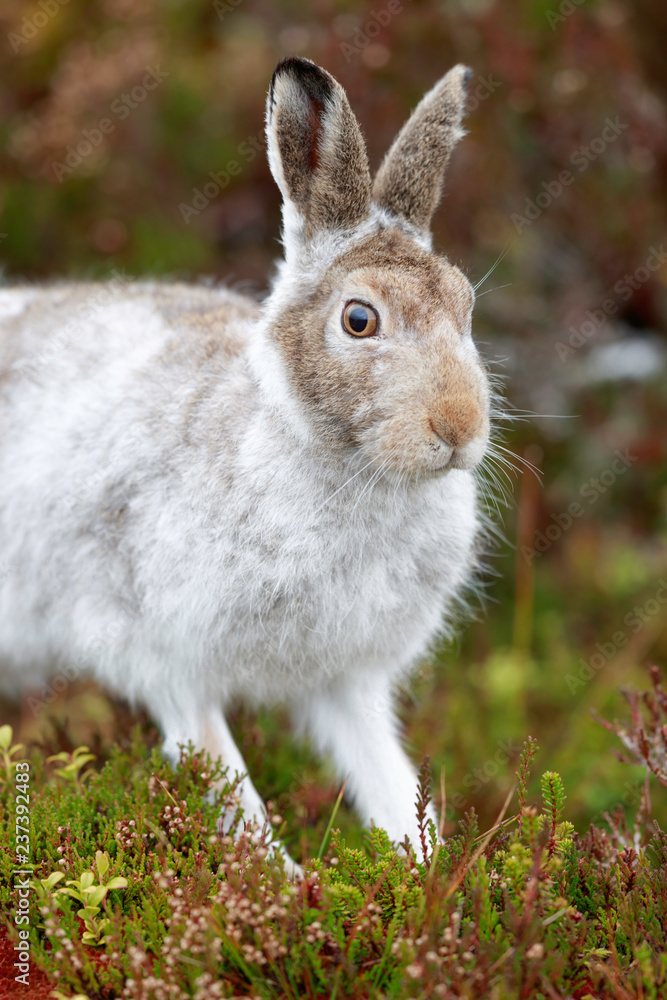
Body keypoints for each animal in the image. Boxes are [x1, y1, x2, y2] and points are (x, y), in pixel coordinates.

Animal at [0, 56, 492, 869]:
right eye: (359, 319)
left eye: (466, 308)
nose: (459, 425)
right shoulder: (163, 652)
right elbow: (224, 778)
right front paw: (285, 884)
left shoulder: (346, 675)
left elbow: (383, 770)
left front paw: (427, 872)